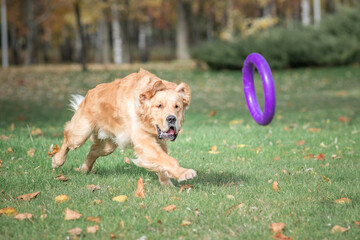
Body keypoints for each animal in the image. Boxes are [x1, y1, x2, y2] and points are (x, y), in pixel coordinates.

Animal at [51, 69, 197, 186]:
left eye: (177, 106)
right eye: (159, 105)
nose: (171, 119)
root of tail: (89, 92)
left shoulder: (159, 141)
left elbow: (162, 160)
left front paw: (166, 182)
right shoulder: (143, 140)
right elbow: (165, 159)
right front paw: (184, 173)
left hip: (109, 145)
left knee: (93, 150)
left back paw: (84, 168)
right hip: (81, 132)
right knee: (67, 136)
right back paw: (57, 161)